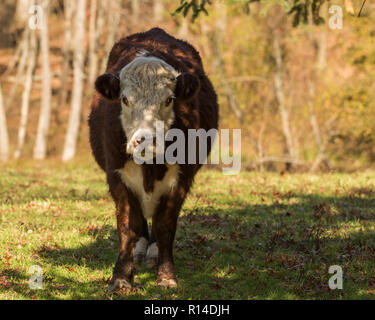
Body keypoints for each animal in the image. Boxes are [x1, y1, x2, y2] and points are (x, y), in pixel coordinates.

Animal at [89, 27, 219, 292]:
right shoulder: (116, 176)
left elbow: (165, 225)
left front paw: (166, 275)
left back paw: (152, 252)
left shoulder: (181, 178)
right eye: (125, 99)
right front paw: (121, 277)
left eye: (168, 99)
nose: (146, 140)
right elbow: (127, 224)